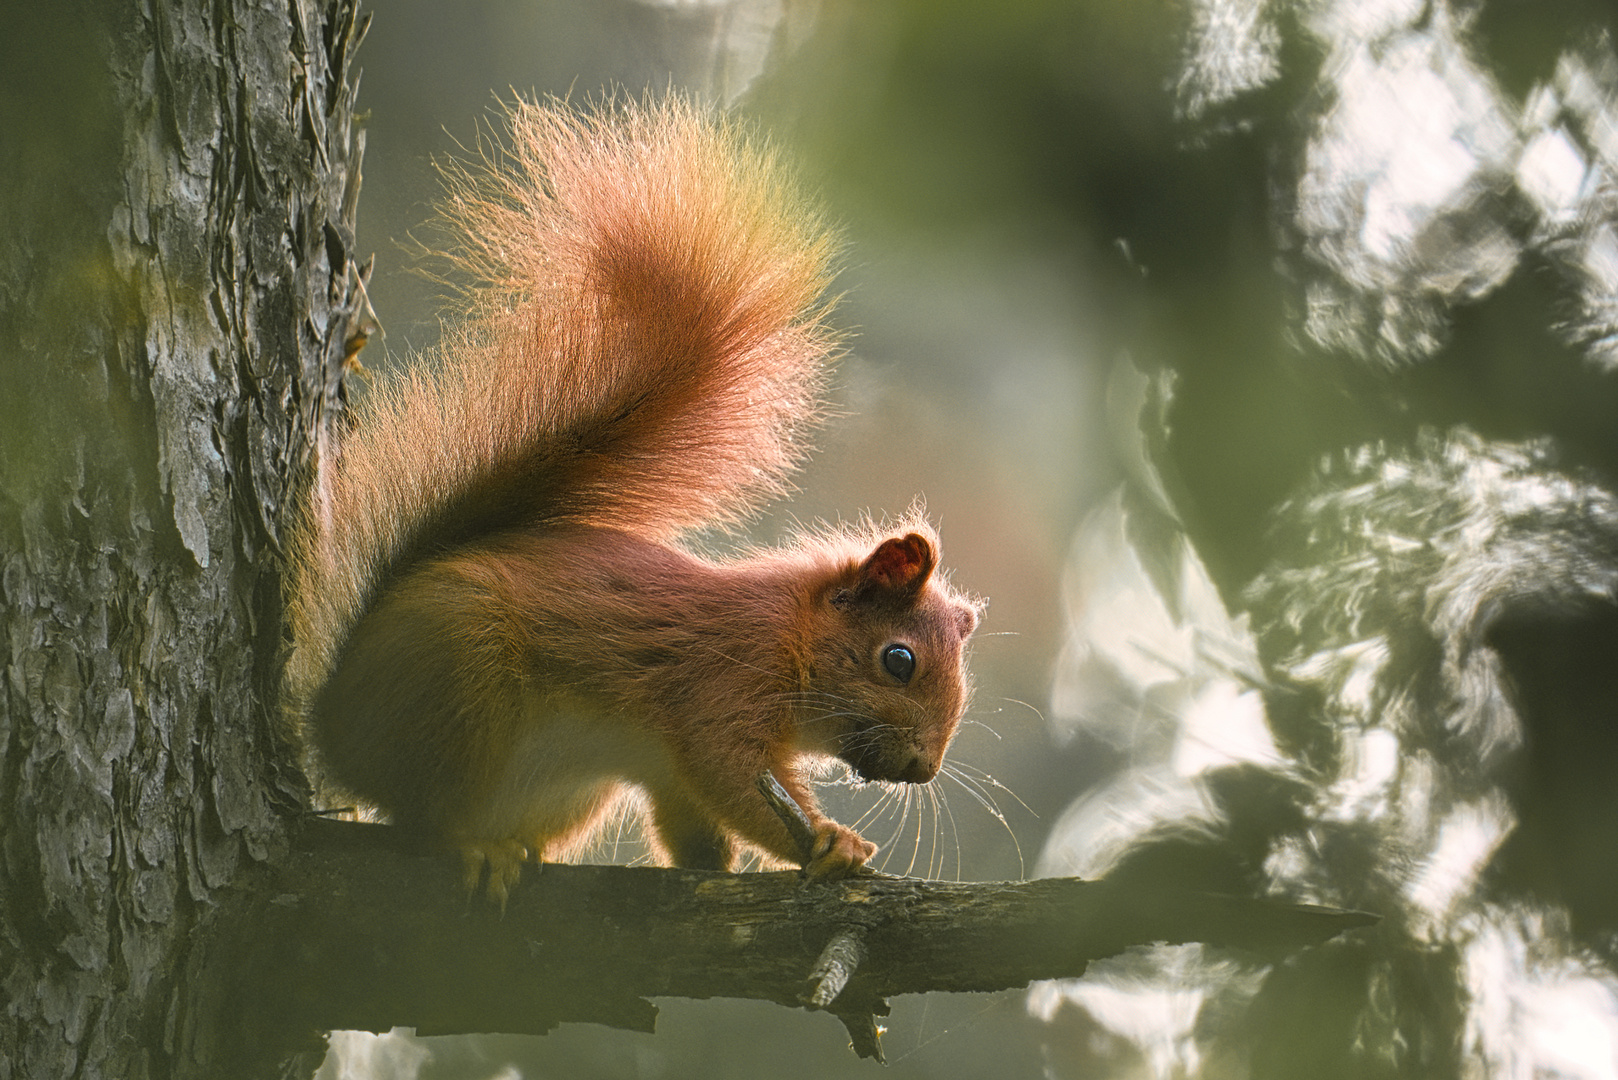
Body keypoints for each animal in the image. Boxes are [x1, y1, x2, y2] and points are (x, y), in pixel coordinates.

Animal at [284, 99, 977, 906]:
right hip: (460, 675)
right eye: (898, 660)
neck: (792, 633)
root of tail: (334, 717)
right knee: (422, 813)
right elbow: (729, 772)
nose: (924, 769)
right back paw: (471, 844)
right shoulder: (723, 679)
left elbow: (692, 815)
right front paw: (830, 840)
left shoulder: (666, 765)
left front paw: (723, 864)